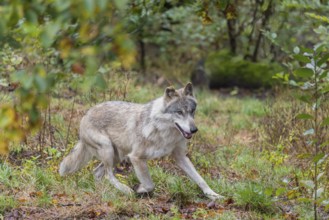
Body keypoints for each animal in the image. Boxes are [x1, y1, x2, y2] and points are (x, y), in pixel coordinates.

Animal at [59, 83, 220, 201]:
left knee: (98, 173)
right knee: (108, 174)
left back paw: (104, 192)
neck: (164, 131)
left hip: (117, 156)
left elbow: (200, 179)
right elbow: (149, 184)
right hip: (109, 150)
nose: (194, 129)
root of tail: (86, 113)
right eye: (179, 112)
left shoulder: (180, 157)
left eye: (192, 111)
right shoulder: (136, 157)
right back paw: (125, 190)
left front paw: (213, 195)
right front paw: (140, 189)